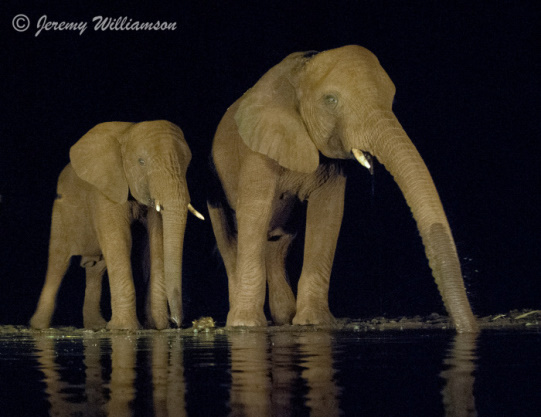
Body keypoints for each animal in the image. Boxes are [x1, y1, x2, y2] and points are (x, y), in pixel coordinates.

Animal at [29, 119, 204, 328]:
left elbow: (156, 242)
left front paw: (159, 328)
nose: (177, 322)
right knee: (58, 263)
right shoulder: (105, 190)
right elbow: (120, 240)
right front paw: (125, 329)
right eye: (141, 162)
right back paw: (39, 326)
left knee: (96, 268)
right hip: (60, 214)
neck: (127, 132)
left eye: (187, 164)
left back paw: (96, 326)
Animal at [207, 44, 476, 332]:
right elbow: (255, 212)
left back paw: (284, 318)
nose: (468, 328)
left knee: (279, 243)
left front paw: (312, 322)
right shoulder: (256, 151)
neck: (299, 73)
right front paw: (245, 326)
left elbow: (327, 214)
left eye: (391, 99)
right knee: (230, 239)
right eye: (331, 100)